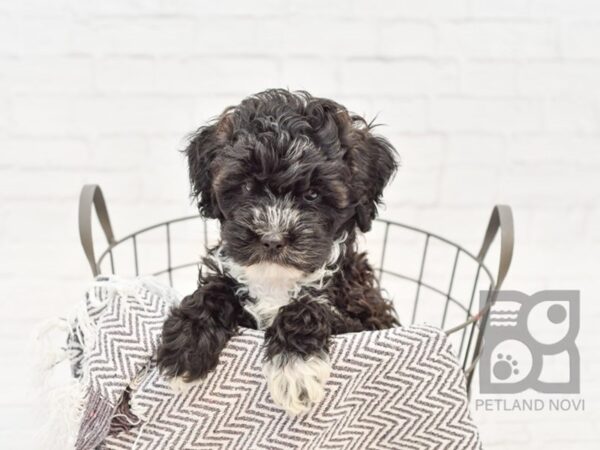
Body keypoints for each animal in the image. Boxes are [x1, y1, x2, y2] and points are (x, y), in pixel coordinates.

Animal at [157, 89, 398, 416]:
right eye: (246, 187)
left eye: (313, 194)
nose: (272, 239)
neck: (275, 280)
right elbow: (216, 288)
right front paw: (187, 342)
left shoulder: (366, 321)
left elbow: (310, 305)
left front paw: (295, 367)